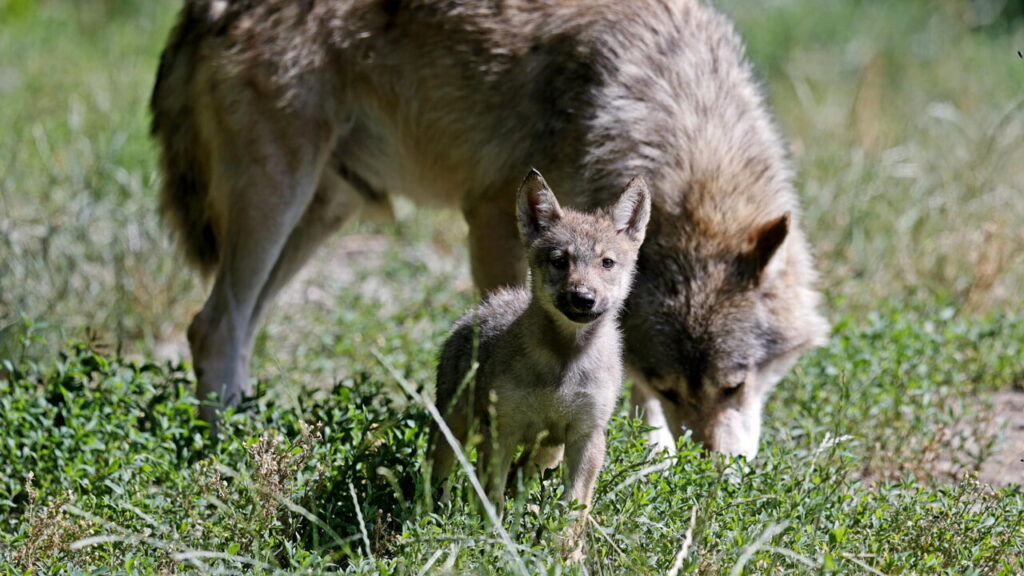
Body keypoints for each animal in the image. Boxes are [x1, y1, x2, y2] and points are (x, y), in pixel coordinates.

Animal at [151, 0, 829, 453]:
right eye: (673, 387)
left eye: (734, 386)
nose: (713, 473)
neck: (651, 94)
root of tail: (205, 7)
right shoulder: (493, 220)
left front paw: (654, 466)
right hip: (277, 200)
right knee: (214, 325)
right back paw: (227, 448)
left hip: (320, 213)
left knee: (236, 327)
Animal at [429, 170, 649, 554]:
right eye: (560, 261)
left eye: (606, 263)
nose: (583, 298)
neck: (564, 366)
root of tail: (487, 304)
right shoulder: (502, 431)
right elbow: (492, 500)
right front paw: (496, 546)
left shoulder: (586, 436)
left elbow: (574, 508)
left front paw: (566, 556)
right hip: (455, 425)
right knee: (437, 476)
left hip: (547, 451)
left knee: (525, 479)